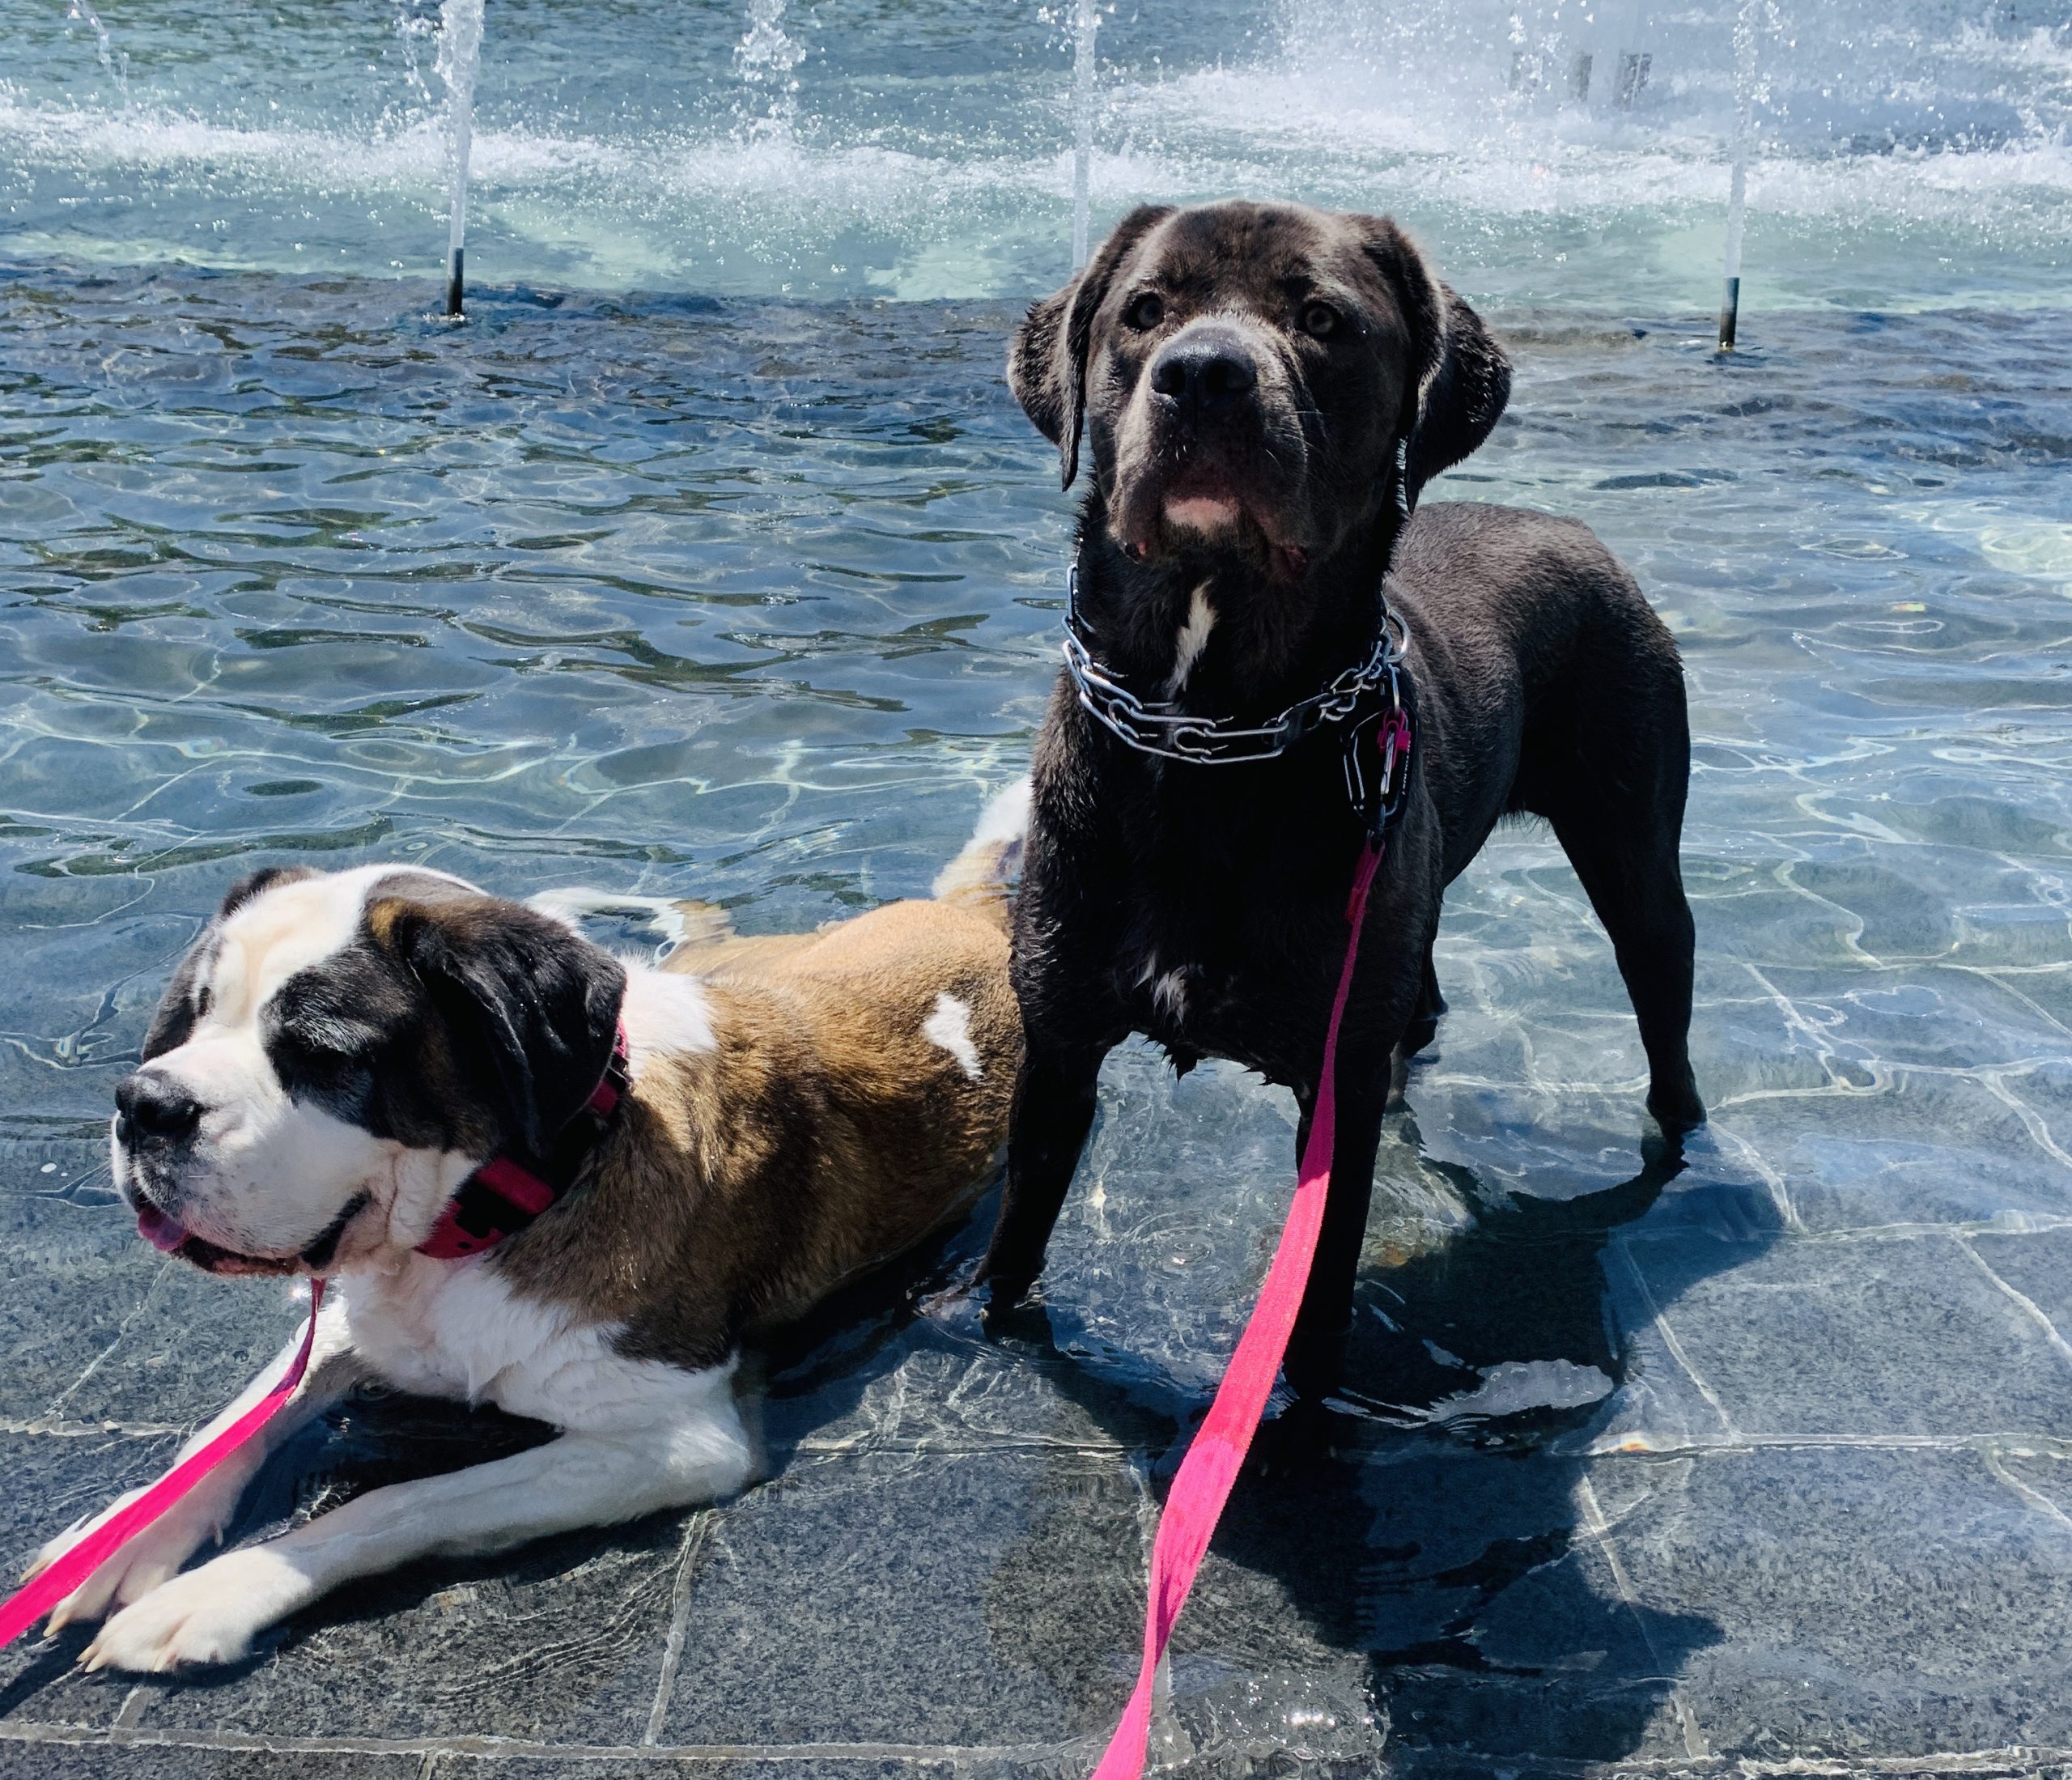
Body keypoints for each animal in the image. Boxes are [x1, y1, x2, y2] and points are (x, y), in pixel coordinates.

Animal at [24, 787, 1027, 1674]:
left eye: (321, 1052)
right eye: (194, 1015)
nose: (145, 1105)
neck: (498, 1208)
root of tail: (968, 920)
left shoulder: (670, 1442)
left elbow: (398, 1503)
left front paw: (216, 1593)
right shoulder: (355, 1319)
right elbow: (235, 1423)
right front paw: (120, 1537)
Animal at [974, 198, 1699, 1392]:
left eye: (1322, 319)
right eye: (1143, 310)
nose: (1204, 375)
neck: (1208, 726)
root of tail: (1570, 525)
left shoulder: (1333, 1092)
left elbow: (1313, 1306)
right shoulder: (1060, 1042)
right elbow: (1013, 1249)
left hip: (1633, 834)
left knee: (1664, 1005)